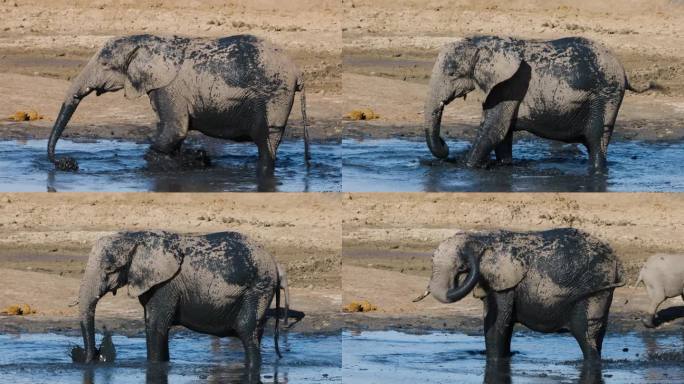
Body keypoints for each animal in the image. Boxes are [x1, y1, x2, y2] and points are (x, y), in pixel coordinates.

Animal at [49, 34, 312, 176]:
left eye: (105, 64)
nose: (68, 163)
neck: (147, 42)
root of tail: (298, 73)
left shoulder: (170, 87)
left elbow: (175, 130)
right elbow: (172, 133)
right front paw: (193, 159)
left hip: (275, 96)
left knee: (266, 142)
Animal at [77, 230, 284, 382]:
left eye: (110, 269)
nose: (92, 358)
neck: (137, 237)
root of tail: (275, 264)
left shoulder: (165, 285)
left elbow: (155, 327)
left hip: (258, 288)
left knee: (246, 329)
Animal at [412, 228, 624, 360]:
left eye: (460, 263)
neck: (482, 238)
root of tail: (616, 261)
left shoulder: (506, 282)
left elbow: (497, 322)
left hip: (595, 286)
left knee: (585, 332)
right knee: (596, 334)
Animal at [422, 35, 652, 171]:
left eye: (452, 73)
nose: (445, 143)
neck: (482, 43)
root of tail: (624, 72)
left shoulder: (510, 85)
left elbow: (492, 130)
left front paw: (464, 166)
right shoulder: (502, 87)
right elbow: (502, 133)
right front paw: (505, 166)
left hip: (606, 97)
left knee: (596, 140)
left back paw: (596, 170)